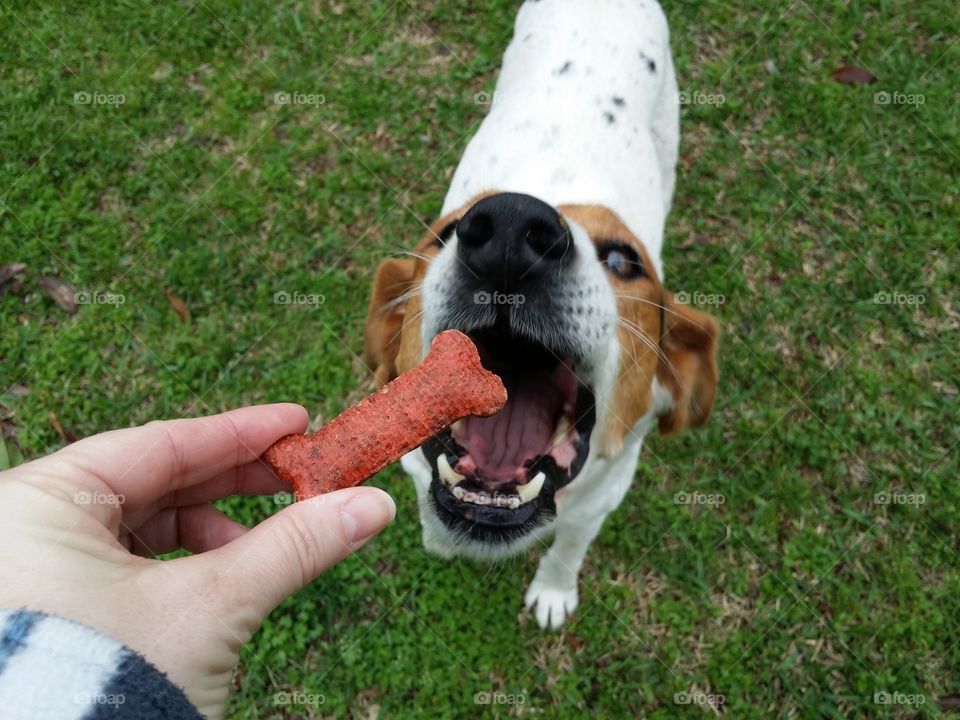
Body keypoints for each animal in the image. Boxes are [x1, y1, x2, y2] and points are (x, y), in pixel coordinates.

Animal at [364, 0, 716, 632]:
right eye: (444, 234)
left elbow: (567, 549)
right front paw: (437, 540)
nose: (509, 230)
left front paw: (553, 591)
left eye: (624, 261)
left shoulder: (597, 504)